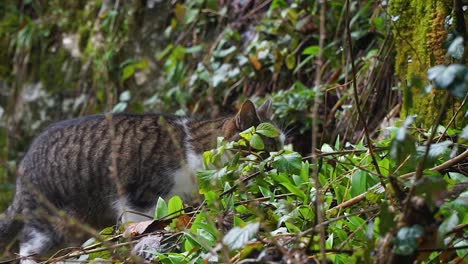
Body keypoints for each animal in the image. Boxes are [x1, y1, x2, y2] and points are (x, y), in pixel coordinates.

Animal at [0, 99, 280, 262]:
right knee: (26, 246)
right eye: (264, 149)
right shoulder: (138, 198)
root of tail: (23, 165)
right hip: (45, 217)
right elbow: (142, 225)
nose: (274, 163)